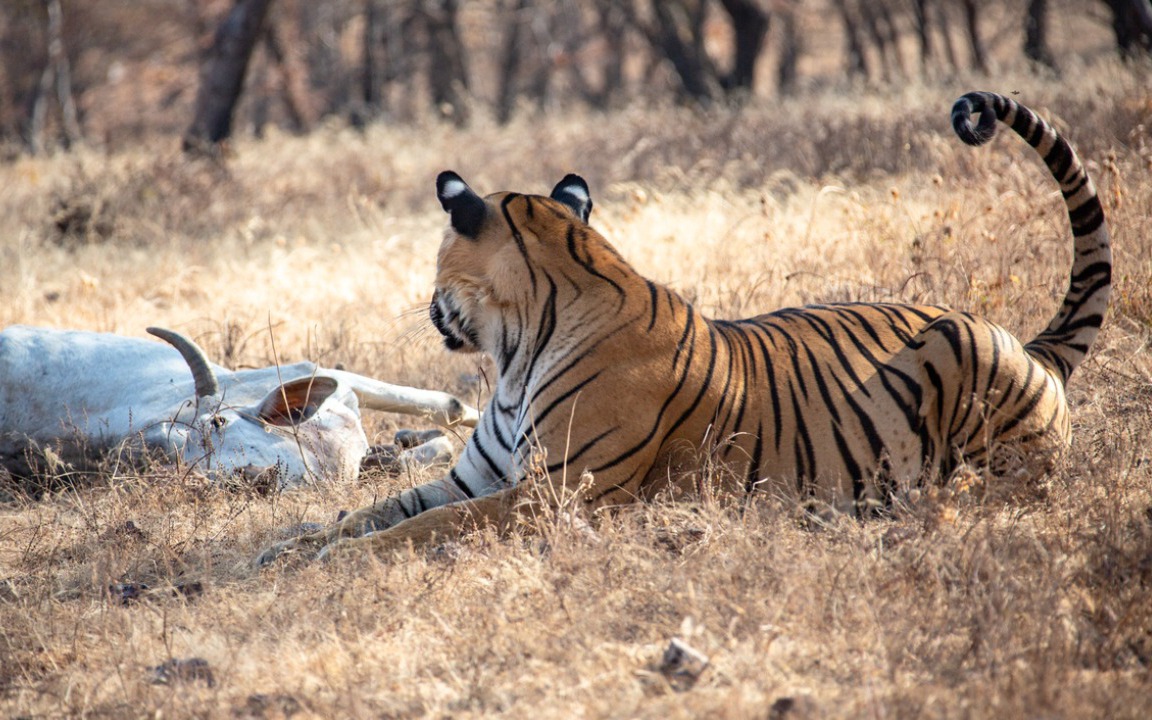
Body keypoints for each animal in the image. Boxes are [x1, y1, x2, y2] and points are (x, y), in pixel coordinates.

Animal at [254, 89, 1105, 564]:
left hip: (964, 377)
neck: (516, 354)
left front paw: (332, 561)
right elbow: (379, 509)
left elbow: (418, 530)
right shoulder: (481, 478)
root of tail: (1030, 347)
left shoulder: (555, 493)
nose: (431, 309)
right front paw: (293, 545)